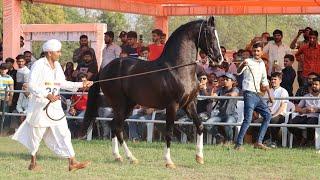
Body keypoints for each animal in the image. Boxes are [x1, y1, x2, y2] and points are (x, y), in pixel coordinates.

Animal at [83, 16, 222, 168]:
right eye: (209, 33)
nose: (219, 58)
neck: (178, 68)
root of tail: (105, 69)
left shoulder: (189, 104)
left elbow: (200, 125)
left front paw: (199, 157)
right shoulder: (172, 106)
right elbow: (169, 132)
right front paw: (169, 161)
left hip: (128, 106)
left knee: (115, 126)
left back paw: (119, 157)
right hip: (120, 104)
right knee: (117, 127)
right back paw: (130, 157)